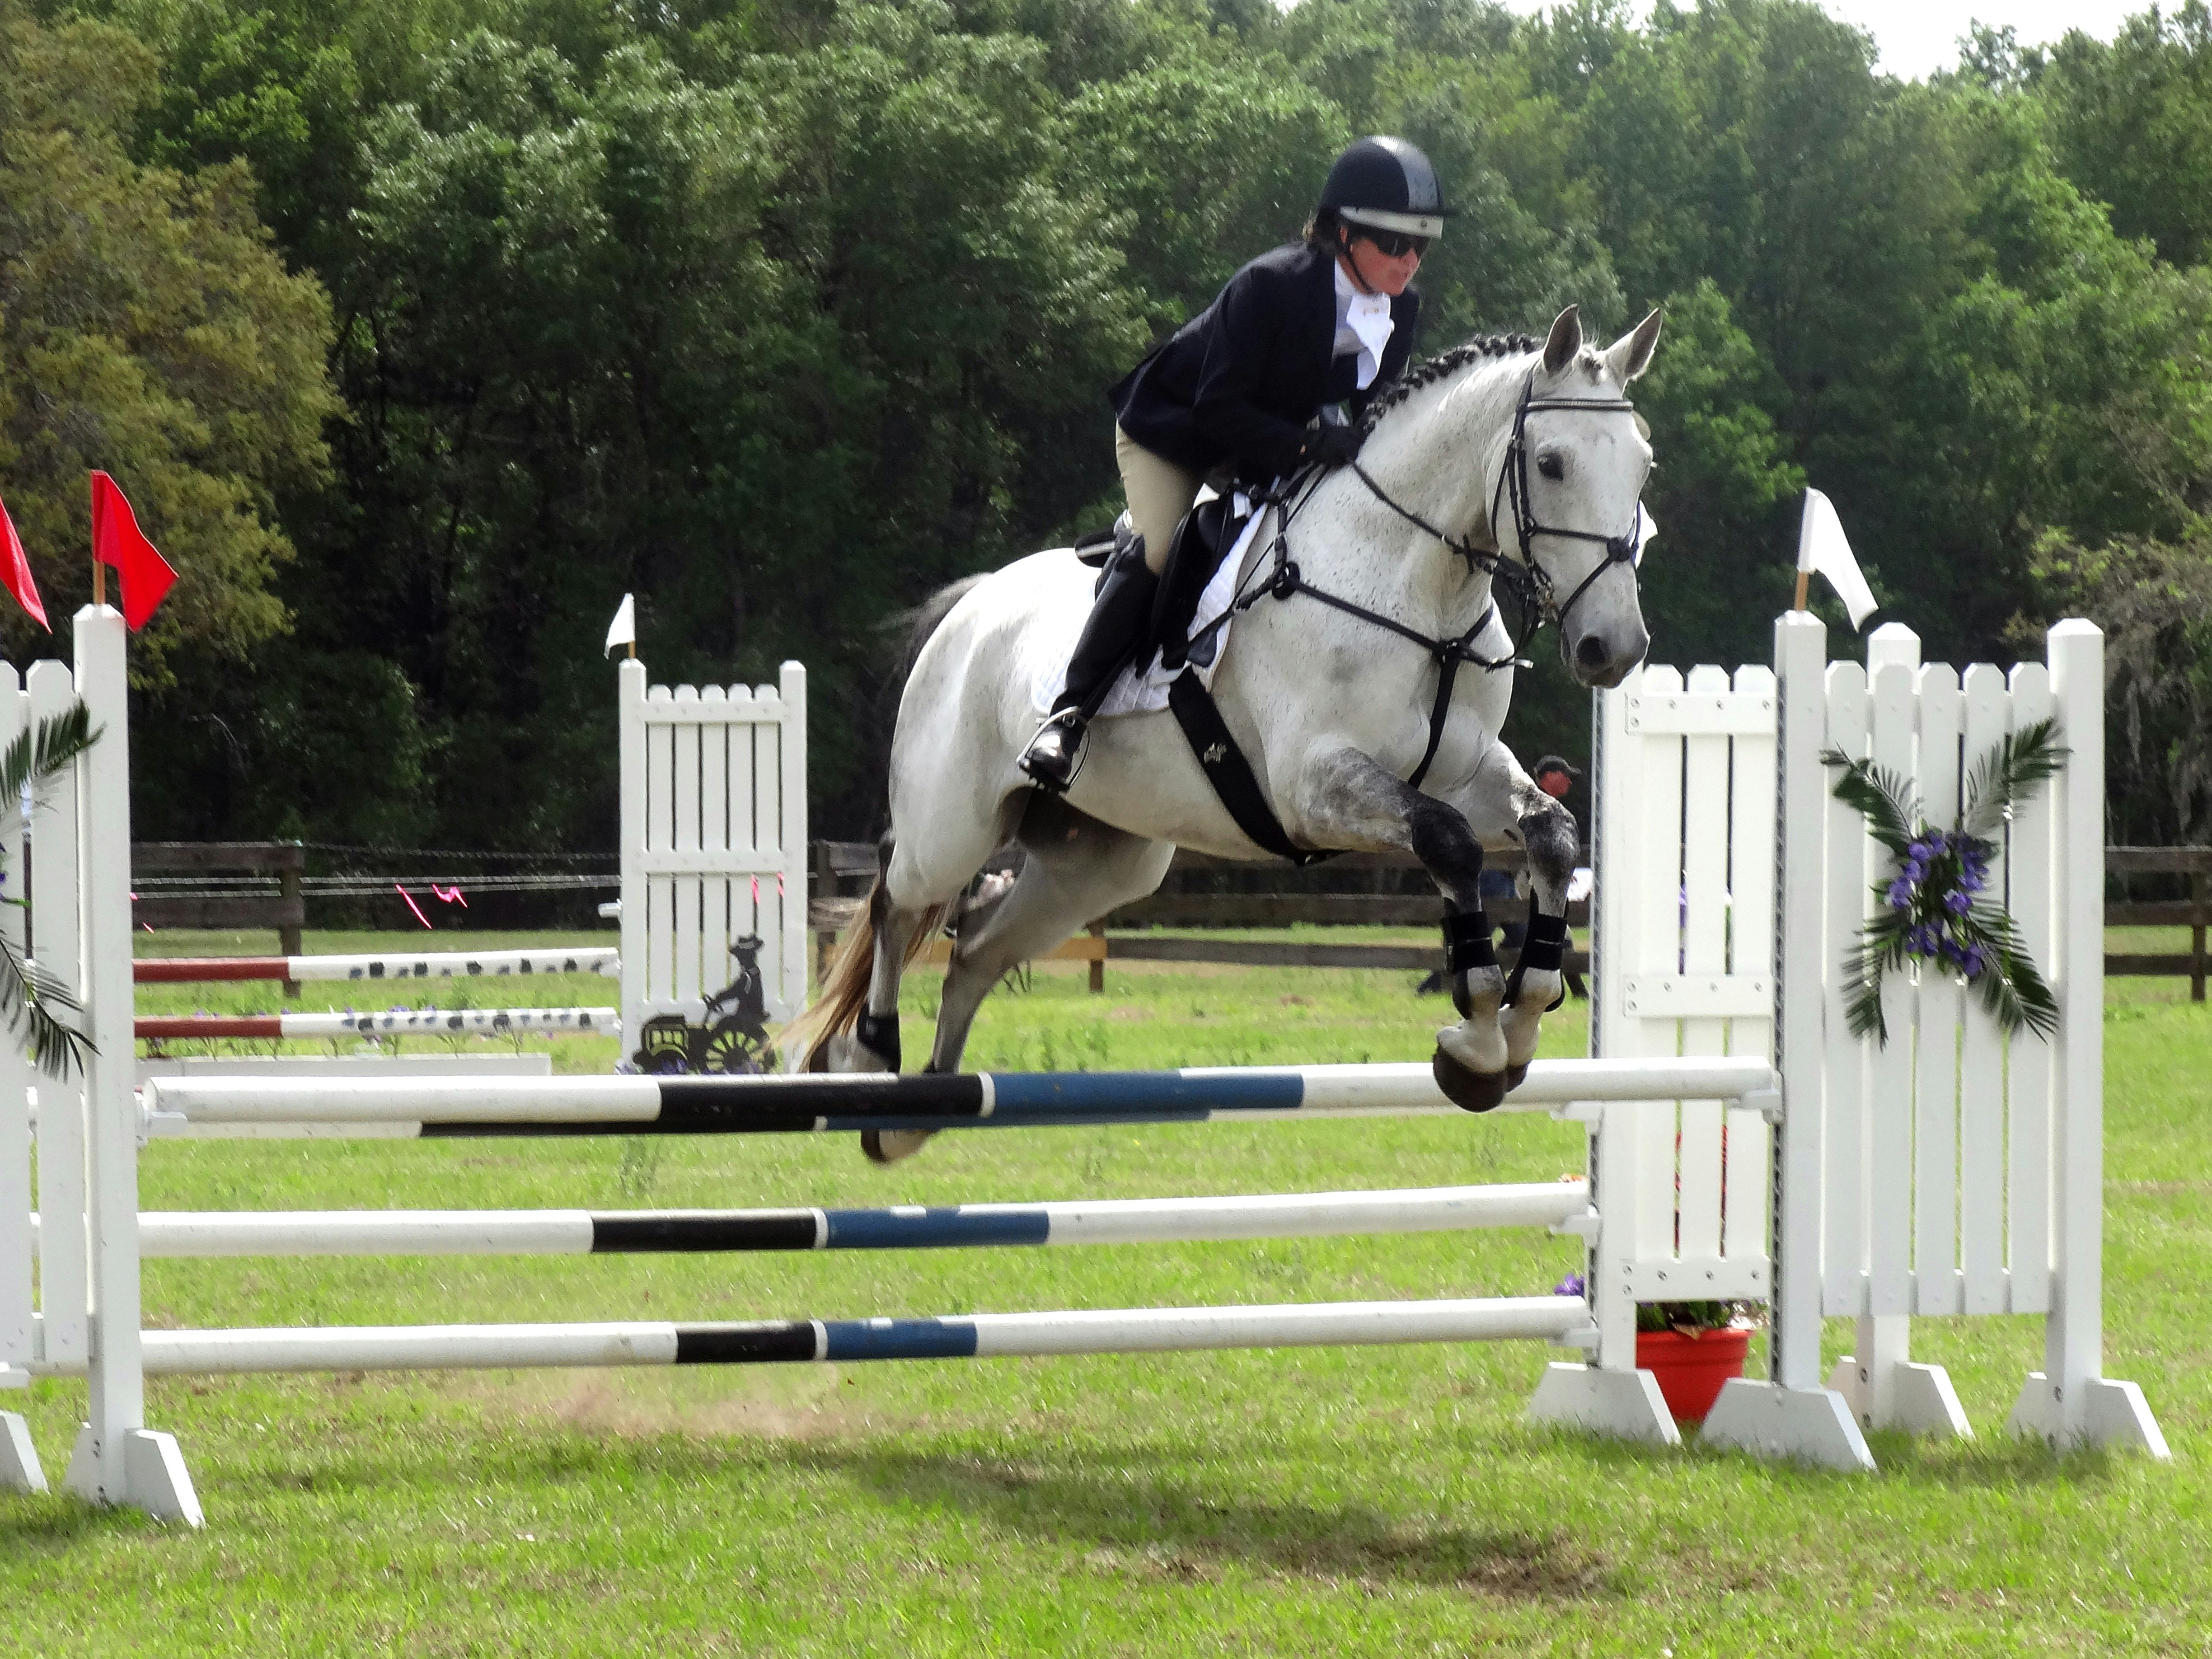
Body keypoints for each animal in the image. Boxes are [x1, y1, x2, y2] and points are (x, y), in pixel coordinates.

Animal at [792, 304, 1661, 1162]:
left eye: (1644, 467)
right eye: (1550, 463)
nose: (1613, 648)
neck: (1416, 588)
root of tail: (970, 606)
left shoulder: (1465, 771)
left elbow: (1549, 834)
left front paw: (1518, 1026)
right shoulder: (1313, 786)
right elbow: (1448, 843)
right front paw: (1477, 1038)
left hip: (1098, 865)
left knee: (975, 953)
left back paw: (910, 1117)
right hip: (955, 825)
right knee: (895, 895)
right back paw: (867, 1057)